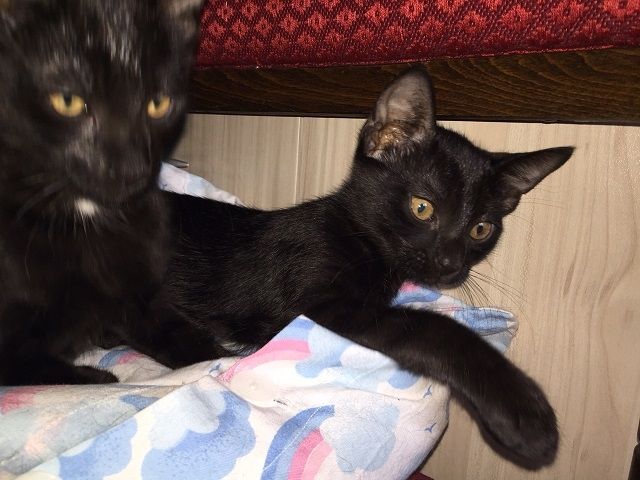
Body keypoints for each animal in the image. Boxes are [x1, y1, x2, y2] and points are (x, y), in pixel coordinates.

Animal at [0, 0, 204, 385]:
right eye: (67, 100)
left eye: (158, 103)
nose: (131, 167)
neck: (85, 215)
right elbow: (41, 369)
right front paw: (98, 377)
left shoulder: (146, 294)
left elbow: (190, 339)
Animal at [126, 68, 573, 469]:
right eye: (422, 207)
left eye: (481, 229)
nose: (450, 265)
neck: (359, 240)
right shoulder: (319, 305)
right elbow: (431, 328)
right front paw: (523, 410)